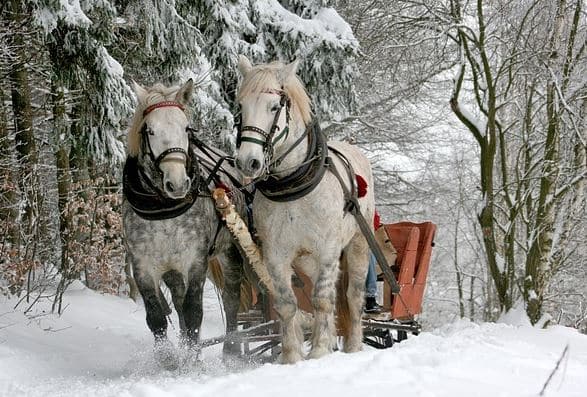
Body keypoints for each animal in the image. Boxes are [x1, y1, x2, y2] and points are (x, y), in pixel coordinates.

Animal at [233, 55, 374, 362]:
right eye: (241, 107)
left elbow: (322, 300)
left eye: (274, 107)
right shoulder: (275, 255)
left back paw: (353, 345)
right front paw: (292, 356)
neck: (292, 187)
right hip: (306, 260)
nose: (248, 162)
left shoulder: (328, 250)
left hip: (357, 244)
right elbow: (287, 304)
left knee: (352, 297)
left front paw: (319, 351)